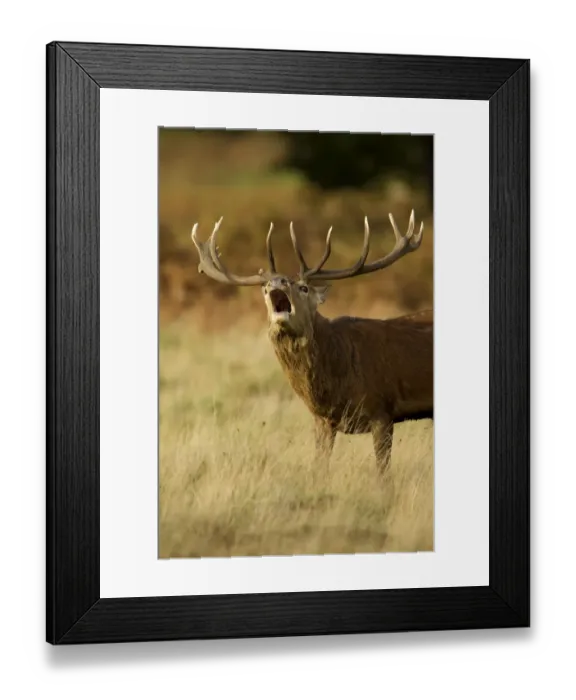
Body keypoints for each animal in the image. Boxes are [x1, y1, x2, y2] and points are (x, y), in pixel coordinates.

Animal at [190, 210, 433, 475]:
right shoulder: (322, 419)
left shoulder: (382, 409)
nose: (277, 281)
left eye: (304, 287)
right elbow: (319, 468)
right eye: (264, 289)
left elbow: (383, 473)